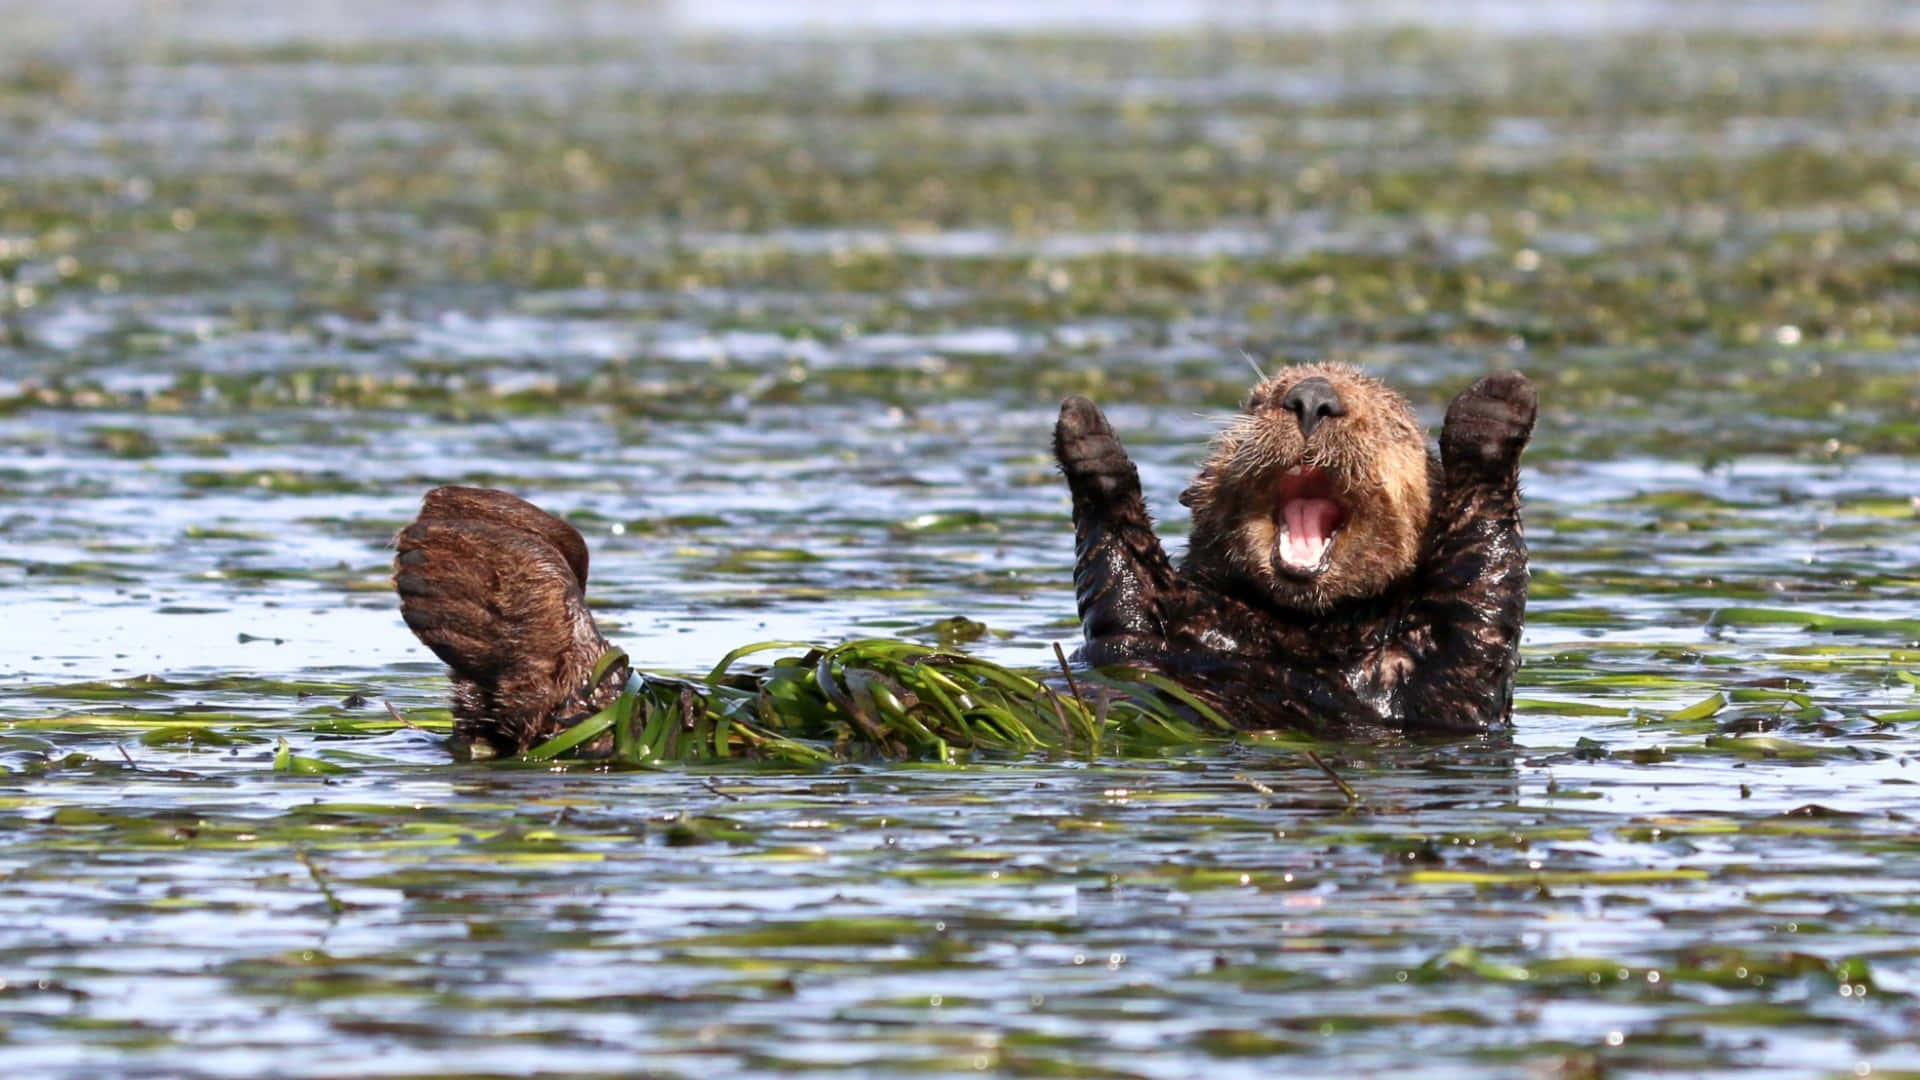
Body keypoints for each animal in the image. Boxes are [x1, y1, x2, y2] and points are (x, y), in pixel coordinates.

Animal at [1053, 364, 1535, 735]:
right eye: (1257, 401)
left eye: (1393, 424)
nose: (1312, 397)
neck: (1299, 629)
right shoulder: (1149, 625)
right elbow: (1123, 584)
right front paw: (1087, 432)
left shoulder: (1438, 678)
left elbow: (1482, 591)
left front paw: (1497, 404)